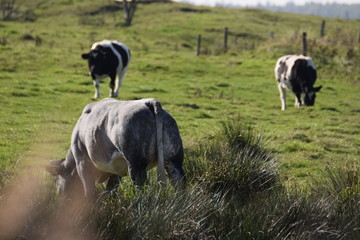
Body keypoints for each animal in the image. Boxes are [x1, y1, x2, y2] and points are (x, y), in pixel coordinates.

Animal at [46, 98, 186, 199]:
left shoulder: (82, 161)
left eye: (57, 182)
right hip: (174, 161)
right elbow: (110, 190)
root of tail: (149, 102)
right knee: (179, 183)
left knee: (142, 188)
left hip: (136, 165)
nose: (61, 198)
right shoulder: (117, 170)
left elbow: (89, 190)